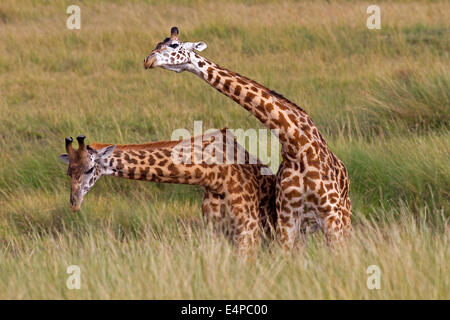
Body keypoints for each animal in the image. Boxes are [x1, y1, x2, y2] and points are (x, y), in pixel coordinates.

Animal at [58, 129, 276, 254]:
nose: (74, 204)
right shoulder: (215, 229)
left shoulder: (248, 228)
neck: (215, 175)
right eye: (69, 172)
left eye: (89, 169)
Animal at [143, 26, 352, 248]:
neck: (297, 146)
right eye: (157, 44)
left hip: (344, 217)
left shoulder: (331, 215)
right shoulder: (288, 218)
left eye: (174, 45)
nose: (147, 60)